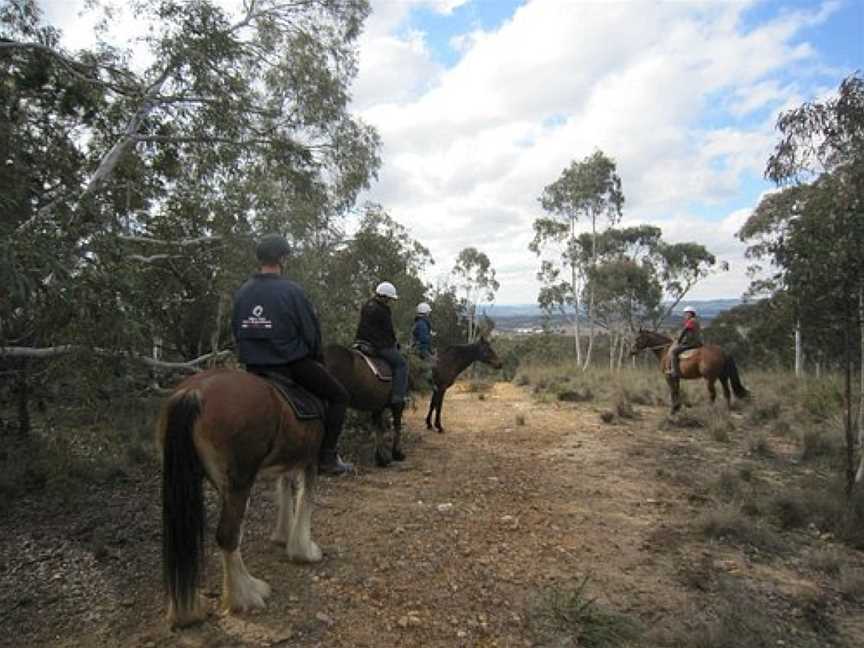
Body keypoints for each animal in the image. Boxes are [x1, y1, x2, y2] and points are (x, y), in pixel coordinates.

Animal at [157, 370, 326, 628]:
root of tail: (193, 392)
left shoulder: (288, 462)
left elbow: (285, 487)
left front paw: (283, 535)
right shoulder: (310, 460)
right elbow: (305, 499)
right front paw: (303, 551)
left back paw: (187, 610)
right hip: (240, 481)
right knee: (228, 535)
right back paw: (246, 595)